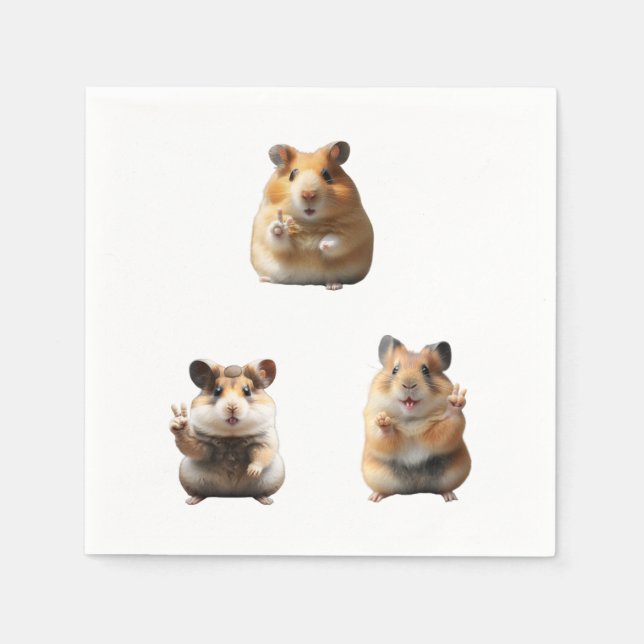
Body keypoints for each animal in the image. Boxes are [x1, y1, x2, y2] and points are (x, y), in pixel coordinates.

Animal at [169, 359, 285, 505]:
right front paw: (179, 421)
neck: (232, 436)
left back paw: (266, 500)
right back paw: (192, 500)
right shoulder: (203, 443)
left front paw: (252, 472)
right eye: (217, 391)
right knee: (200, 492)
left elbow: (262, 454)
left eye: (247, 391)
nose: (232, 407)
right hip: (187, 475)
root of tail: (232, 493)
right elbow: (195, 448)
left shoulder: (266, 439)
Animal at [250, 141, 374, 290]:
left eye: (327, 175)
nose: (308, 194)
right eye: (292, 175)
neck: (309, 221)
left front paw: (320, 245)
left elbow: (338, 240)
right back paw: (264, 279)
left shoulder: (355, 229)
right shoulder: (264, 227)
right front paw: (281, 227)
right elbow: (277, 238)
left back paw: (333, 285)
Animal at [362, 336, 471, 503]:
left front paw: (456, 400)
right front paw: (383, 421)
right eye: (395, 369)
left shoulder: (441, 433)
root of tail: (416, 489)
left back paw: (450, 497)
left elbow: (449, 424)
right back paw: (374, 497)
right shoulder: (371, 423)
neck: (411, 419)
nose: (409, 384)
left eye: (425, 370)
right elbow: (383, 435)